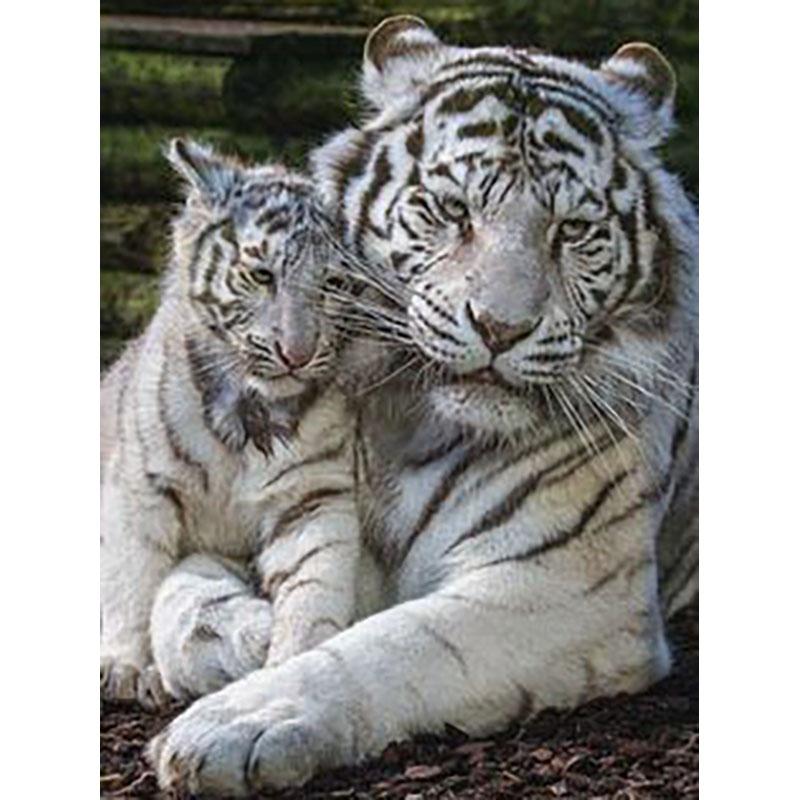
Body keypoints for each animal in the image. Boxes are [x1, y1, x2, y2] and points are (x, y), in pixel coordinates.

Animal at [100, 138, 360, 708]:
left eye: (333, 284)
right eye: (262, 275)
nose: (297, 354)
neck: (250, 413)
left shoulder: (311, 494)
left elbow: (314, 584)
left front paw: (296, 662)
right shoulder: (141, 487)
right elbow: (134, 576)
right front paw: (126, 667)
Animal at [149, 17, 698, 795]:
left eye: (570, 230)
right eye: (453, 211)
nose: (501, 328)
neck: (411, 426)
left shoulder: (570, 584)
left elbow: (394, 644)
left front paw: (233, 724)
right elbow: (178, 597)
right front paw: (254, 638)